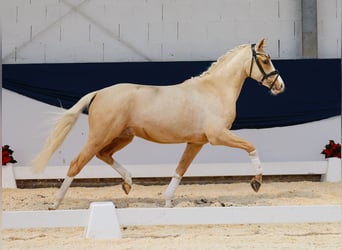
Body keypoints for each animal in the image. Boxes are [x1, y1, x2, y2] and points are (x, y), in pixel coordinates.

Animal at [32, 38, 284, 209]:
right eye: (264, 60)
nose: (280, 86)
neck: (214, 91)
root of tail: (99, 93)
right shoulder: (217, 136)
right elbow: (251, 146)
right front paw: (256, 181)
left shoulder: (196, 142)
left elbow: (180, 170)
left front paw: (168, 201)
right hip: (100, 136)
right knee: (77, 163)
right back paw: (55, 203)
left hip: (123, 136)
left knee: (104, 155)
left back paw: (128, 183)